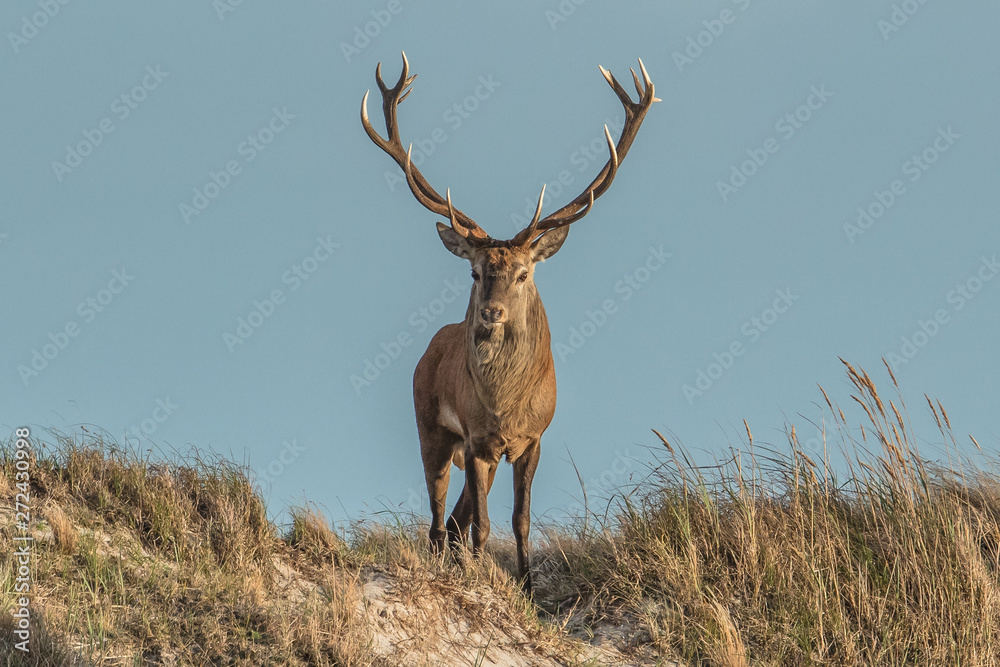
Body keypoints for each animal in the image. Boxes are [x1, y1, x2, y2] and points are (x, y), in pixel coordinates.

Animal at [361, 52, 656, 594]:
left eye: (523, 272)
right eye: (476, 272)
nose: (490, 312)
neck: (506, 408)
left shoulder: (534, 438)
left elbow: (519, 519)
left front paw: (528, 588)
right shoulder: (478, 438)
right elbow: (483, 524)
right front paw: (484, 580)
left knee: (453, 519)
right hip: (430, 427)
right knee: (439, 519)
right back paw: (447, 563)